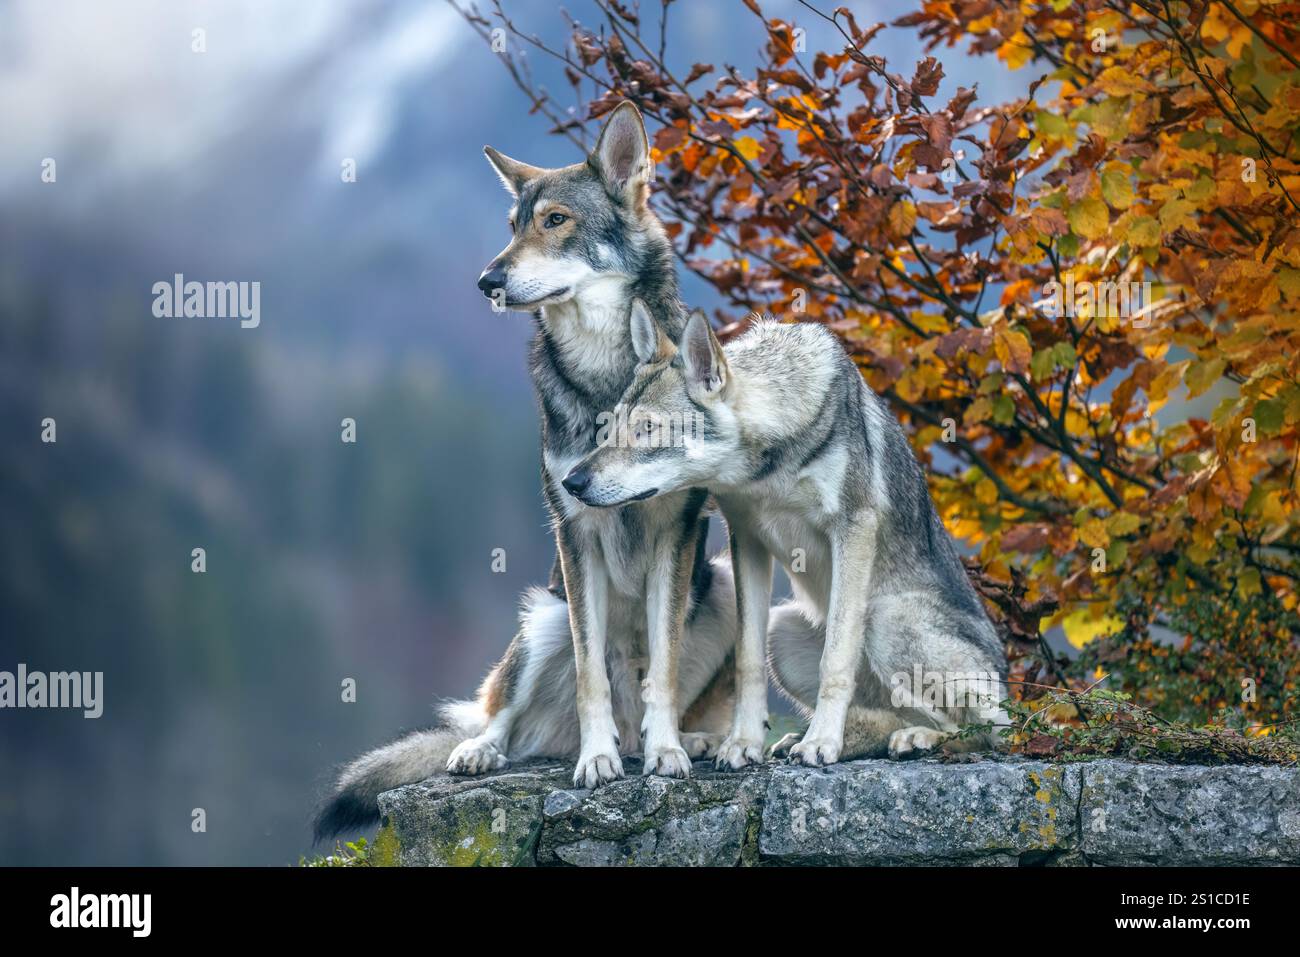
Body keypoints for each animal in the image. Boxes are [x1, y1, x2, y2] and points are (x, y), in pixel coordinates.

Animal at [313, 103, 740, 841]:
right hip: (544, 615)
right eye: (512, 225)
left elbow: (659, 664)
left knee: (654, 701)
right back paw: (489, 751)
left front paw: (668, 754)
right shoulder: (575, 529)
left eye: (556, 220)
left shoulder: (676, 534)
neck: (607, 381)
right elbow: (594, 673)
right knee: (499, 717)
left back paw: (683, 740)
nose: (487, 281)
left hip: (723, 588)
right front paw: (597, 763)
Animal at [564, 310, 1008, 767]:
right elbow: (747, 659)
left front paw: (820, 742)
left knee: (985, 732)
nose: (571, 482)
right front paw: (743, 743)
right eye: (611, 427)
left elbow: (836, 659)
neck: (771, 460)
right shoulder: (747, 538)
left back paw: (912, 738)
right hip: (783, 630)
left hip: (886, 620)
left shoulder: (854, 527)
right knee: (897, 716)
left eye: (648, 428)